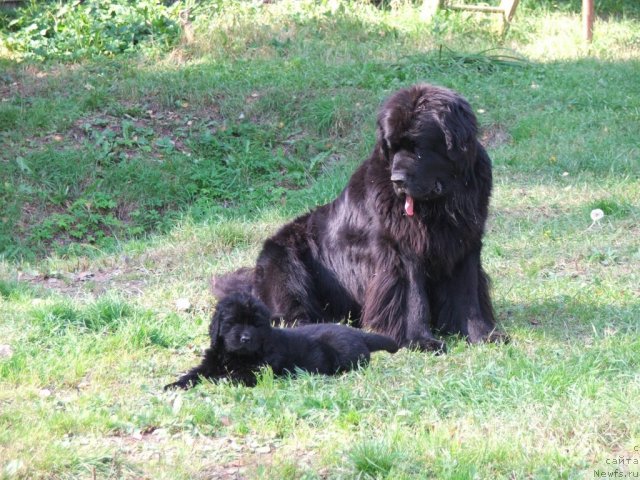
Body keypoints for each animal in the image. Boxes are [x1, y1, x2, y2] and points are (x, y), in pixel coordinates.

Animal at [162, 290, 398, 388]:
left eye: (256, 325)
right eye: (232, 322)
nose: (245, 338)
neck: (233, 356)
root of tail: (359, 334)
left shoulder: (254, 373)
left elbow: (225, 378)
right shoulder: (210, 362)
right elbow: (195, 373)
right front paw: (174, 384)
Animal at [215, 83, 504, 352]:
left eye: (418, 147)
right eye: (392, 148)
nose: (397, 180)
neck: (440, 205)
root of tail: (253, 280)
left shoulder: (466, 244)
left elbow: (468, 295)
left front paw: (484, 335)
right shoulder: (402, 252)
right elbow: (413, 298)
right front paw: (421, 341)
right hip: (285, 262)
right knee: (290, 315)